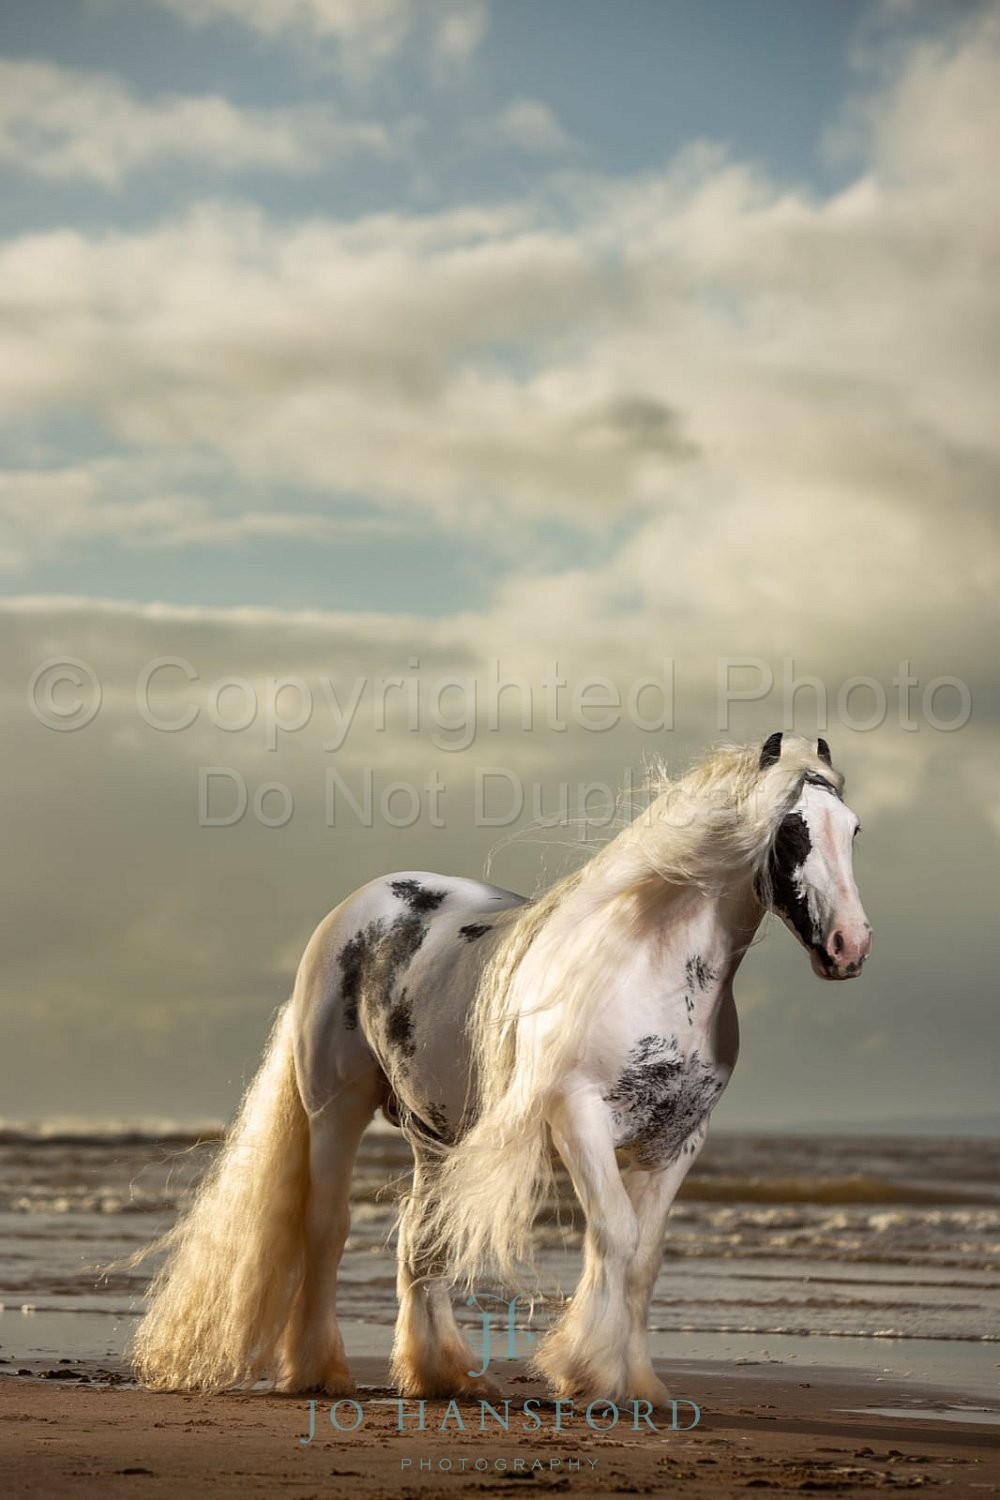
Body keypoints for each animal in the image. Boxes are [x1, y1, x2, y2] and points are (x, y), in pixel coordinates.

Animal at [131, 732, 869, 1410]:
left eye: (854, 828)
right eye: (791, 830)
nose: (850, 947)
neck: (649, 970)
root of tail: (357, 909)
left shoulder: (677, 1142)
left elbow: (644, 1260)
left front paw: (635, 1385)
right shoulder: (578, 1117)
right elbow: (615, 1235)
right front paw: (587, 1375)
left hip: (435, 1135)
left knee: (420, 1242)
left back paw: (440, 1375)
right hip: (334, 1109)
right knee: (327, 1227)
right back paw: (320, 1372)